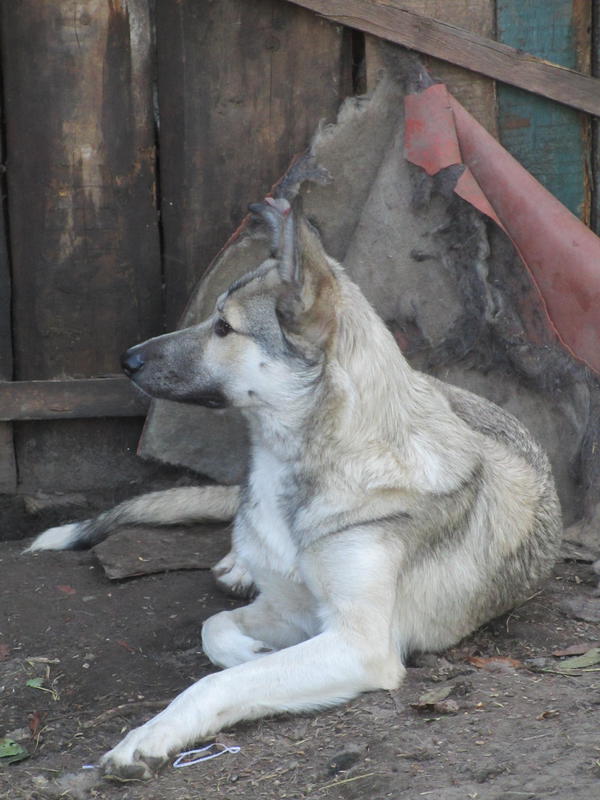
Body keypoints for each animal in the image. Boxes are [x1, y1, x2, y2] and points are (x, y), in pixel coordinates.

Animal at [27, 186, 564, 776]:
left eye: (224, 327)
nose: (126, 359)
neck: (300, 465)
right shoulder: (288, 610)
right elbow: (215, 627)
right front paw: (247, 648)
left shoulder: (358, 644)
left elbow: (215, 683)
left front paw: (150, 735)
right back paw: (237, 565)